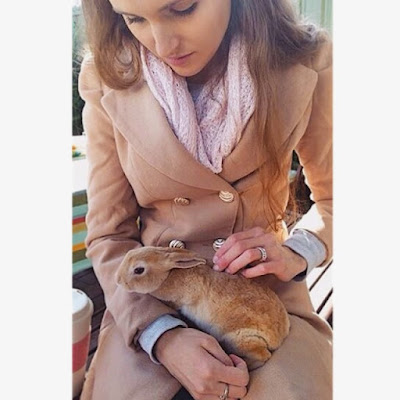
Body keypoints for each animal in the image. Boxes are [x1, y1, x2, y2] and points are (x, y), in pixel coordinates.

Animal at [116, 245, 290, 370]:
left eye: (139, 270)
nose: (118, 280)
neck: (168, 274)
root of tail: (278, 338)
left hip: (241, 338)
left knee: (263, 356)